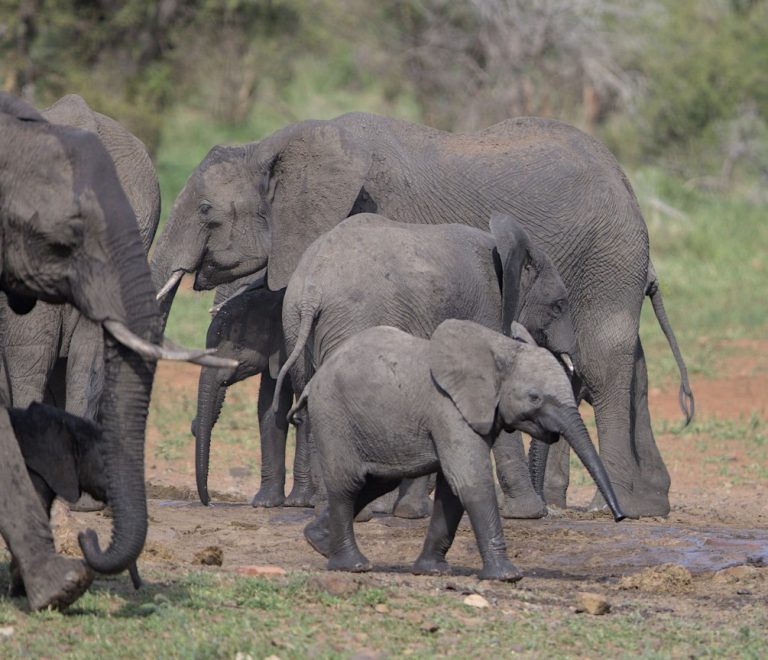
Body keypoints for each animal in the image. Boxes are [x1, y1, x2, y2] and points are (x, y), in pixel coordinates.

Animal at [274, 212, 576, 519]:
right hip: (352, 319)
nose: (548, 509)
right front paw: (530, 513)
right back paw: (359, 512)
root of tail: (313, 287)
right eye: (558, 306)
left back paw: (331, 508)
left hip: (292, 320)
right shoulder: (485, 308)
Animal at [290, 320, 625, 580]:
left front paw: (433, 571)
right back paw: (352, 565)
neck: (499, 348)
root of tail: (313, 382)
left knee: (374, 482)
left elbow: (452, 491)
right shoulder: (448, 409)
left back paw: (317, 542)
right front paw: (507, 576)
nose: (620, 518)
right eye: (534, 397)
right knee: (348, 484)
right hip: (332, 414)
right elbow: (471, 480)